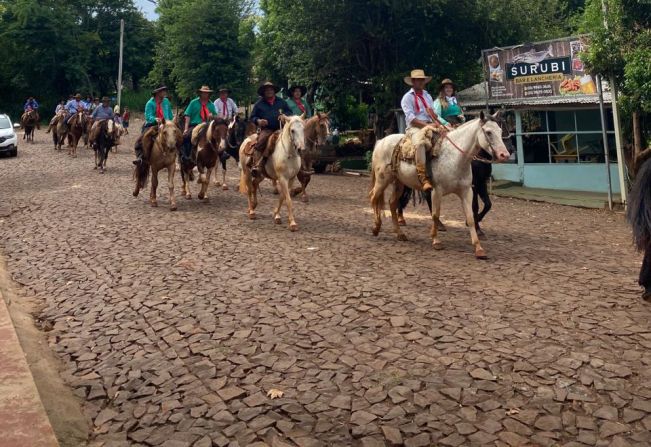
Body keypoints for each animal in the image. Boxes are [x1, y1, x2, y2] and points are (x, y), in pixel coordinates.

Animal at [370, 112, 512, 260]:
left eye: (500, 131)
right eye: (488, 132)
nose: (505, 154)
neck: (455, 158)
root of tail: (381, 141)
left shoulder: (467, 191)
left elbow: (471, 217)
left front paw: (479, 248)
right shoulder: (437, 191)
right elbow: (435, 215)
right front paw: (436, 240)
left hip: (399, 182)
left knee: (392, 203)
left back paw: (400, 234)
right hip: (382, 180)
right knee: (374, 197)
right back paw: (376, 227)